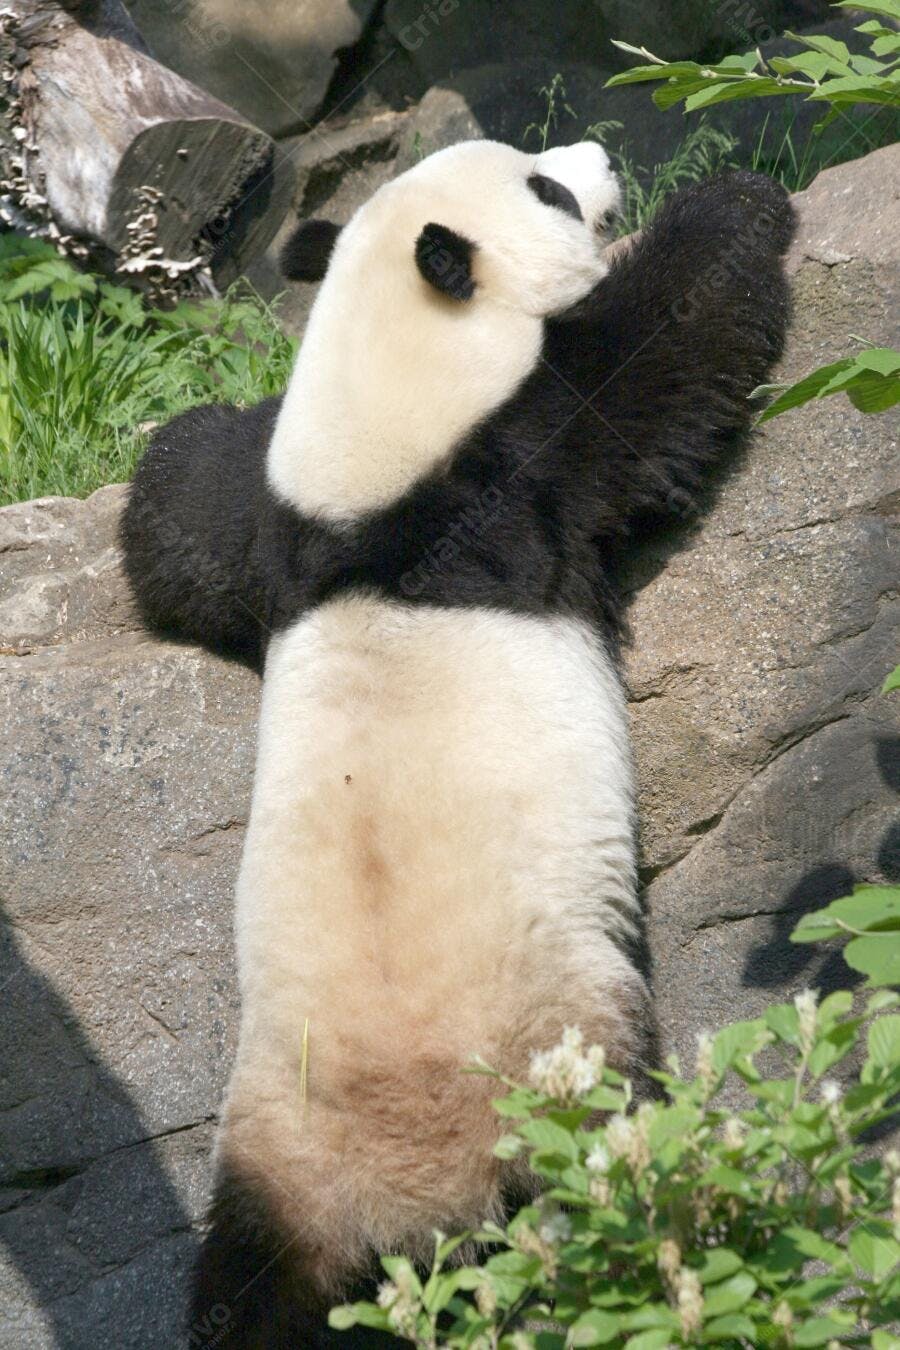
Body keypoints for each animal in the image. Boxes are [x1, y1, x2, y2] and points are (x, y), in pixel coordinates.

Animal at [120, 138, 795, 1348]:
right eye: (546, 186)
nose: (600, 154)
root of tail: (408, 1228)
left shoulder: (287, 537)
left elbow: (184, 511)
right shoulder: (515, 470)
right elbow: (662, 356)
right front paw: (738, 202)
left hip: (271, 1167)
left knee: (241, 1295)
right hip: (557, 1062)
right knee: (618, 1182)